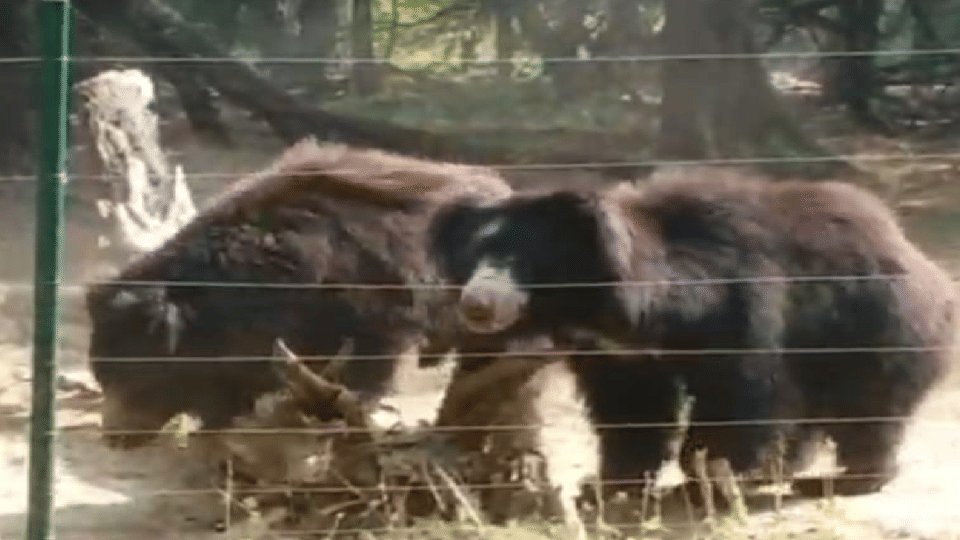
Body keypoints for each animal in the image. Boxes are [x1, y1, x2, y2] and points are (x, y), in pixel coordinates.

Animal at [425, 165, 958, 522]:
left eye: (522, 260)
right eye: (472, 259)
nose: (477, 305)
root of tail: (918, 259)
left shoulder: (738, 312)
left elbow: (740, 396)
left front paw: (703, 483)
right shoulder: (618, 353)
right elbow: (631, 408)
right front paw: (608, 484)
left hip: (873, 326)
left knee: (868, 405)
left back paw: (847, 478)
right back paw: (786, 469)